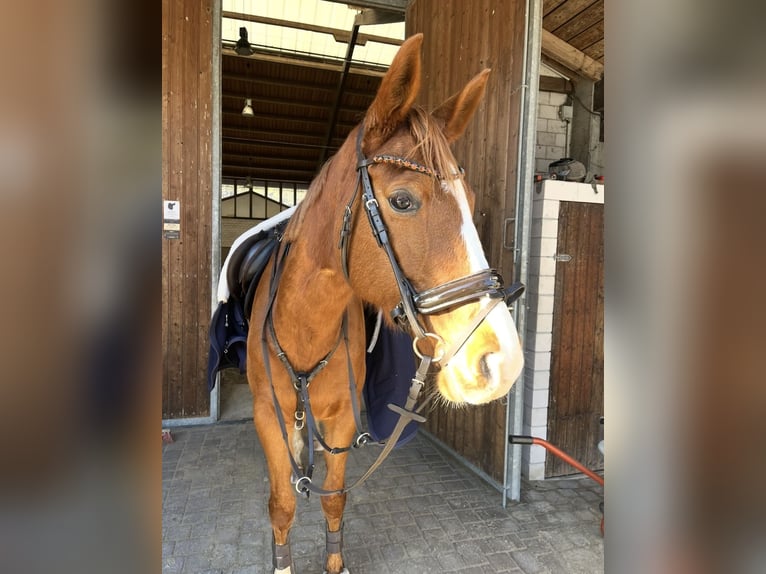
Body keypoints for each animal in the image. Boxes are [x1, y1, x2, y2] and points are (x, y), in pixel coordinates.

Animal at [242, 34, 523, 574]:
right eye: (403, 201)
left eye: (471, 199)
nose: (502, 363)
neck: (305, 329)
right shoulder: (267, 416)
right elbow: (282, 503)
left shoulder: (342, 422)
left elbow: (333, 497)